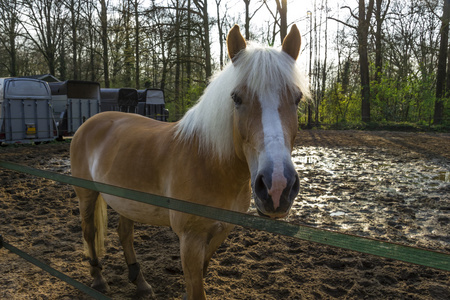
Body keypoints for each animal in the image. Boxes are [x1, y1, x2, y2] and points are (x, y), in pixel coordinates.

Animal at [70, 24, 310, 298]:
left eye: (297, 98)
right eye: (236, 98)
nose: (277, 187)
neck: (210, 164)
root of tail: (89, 123)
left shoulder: (220, 232)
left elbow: (200, 276)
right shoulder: (190, 240)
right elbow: (196, 288)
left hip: (127, 201)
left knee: (124, 233)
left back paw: (140, 282)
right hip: (86, 195)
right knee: (89, 232)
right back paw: (98, 279)